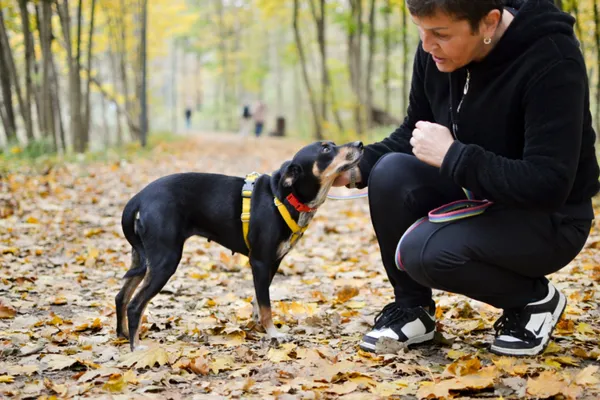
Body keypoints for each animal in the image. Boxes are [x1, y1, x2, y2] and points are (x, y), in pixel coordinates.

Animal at [115, 141, 364, 350]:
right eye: (325, 149)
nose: (360, 144)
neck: (286, 197)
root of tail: (139, 198)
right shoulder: (260, 262)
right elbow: (266, 305)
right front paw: (273, 333)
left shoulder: (273, 262)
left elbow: (258, 300)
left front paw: (259, 326)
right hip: (165, 260)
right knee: (135, 305)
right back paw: (136, 348)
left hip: (142, 258)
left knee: (121, 296)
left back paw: (123, 335)